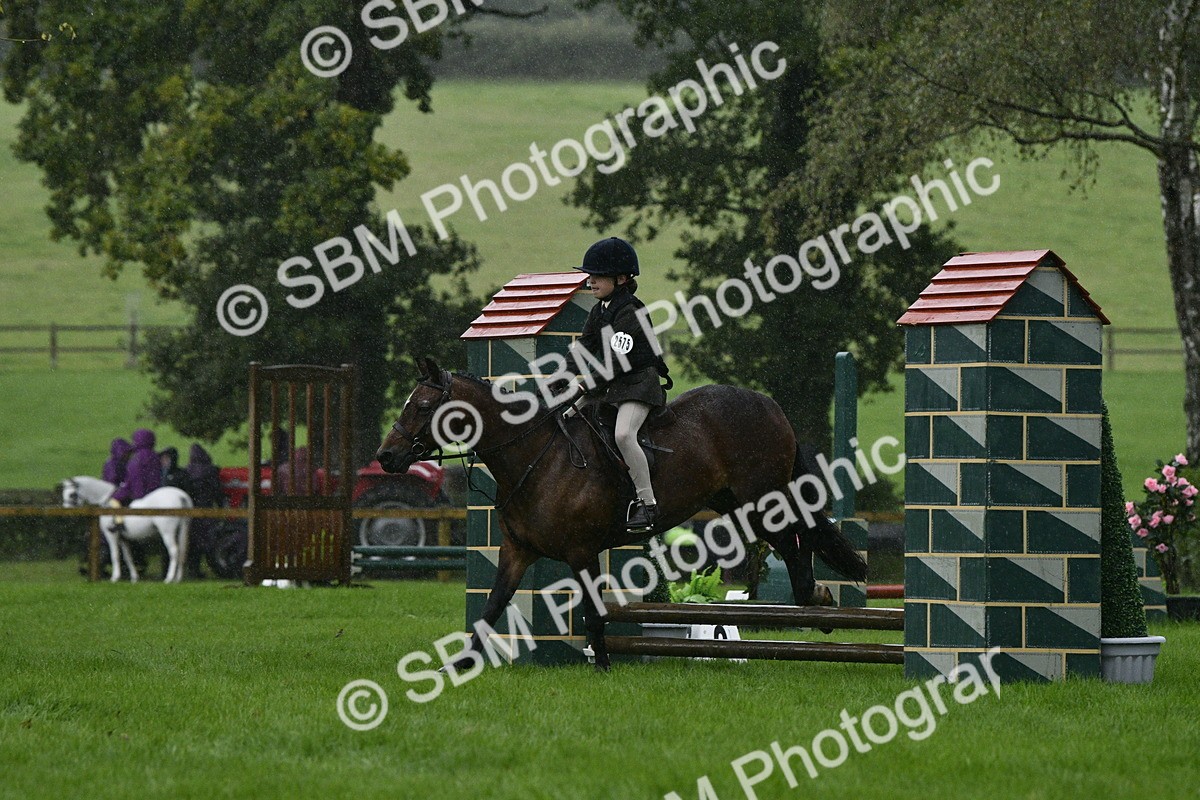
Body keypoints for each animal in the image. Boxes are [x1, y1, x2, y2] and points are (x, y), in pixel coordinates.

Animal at [61, 476, 193, 583]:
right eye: (64, 494)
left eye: (72, 494)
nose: (67, 513)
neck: (106, 502)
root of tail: (180, 495)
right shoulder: (123, 538)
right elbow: (127, 557)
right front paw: (134, 578)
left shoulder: (111, 535)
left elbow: (115, 555)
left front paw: (115, 578)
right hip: (181, 529)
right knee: (182, 551)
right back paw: (177, 578)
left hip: (167, 532)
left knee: (174, 551)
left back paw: (169, 578)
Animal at [375, 357, 868, 671]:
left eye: (423, 406)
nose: (386, 457)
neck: (536, 456)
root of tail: (768, 404)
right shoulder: (517, 551)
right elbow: (492, 606)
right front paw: (459, 666)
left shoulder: (581, 551)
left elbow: (594, 612)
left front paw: (604, 666)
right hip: (736, 501)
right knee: (794, 539)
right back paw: (816, 598)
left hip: (763, 496)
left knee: (800, 535)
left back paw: (818, 598)